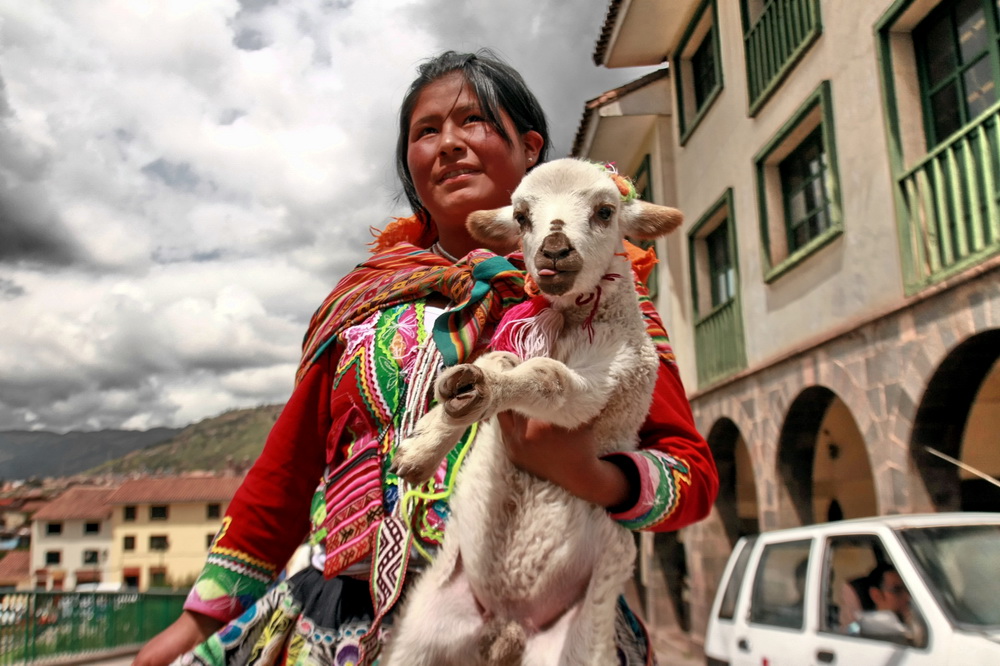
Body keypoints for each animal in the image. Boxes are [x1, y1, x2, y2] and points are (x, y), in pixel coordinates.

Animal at [382, 158, 680, 660]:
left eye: (605, 211)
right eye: (521, 217)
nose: (554, 251)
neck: (568, 322)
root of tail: (509, 626)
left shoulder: (608, 380)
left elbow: (547, 376)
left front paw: (478, 393)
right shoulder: (519, 347)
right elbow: (498, 361)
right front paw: (427, 442)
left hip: (582, 642)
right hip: (420, 633)